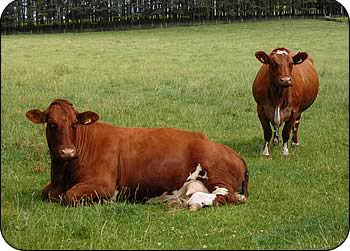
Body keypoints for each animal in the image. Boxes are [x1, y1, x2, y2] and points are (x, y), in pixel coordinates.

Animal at [25, 99, 249, 207]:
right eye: (51, 123)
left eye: (74, 124)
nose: (67, 152)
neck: (62, 175)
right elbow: (45, 192)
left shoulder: (103, 184)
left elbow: (69, 196)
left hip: (215, 172)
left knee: (227, 196)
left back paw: (193, 203)